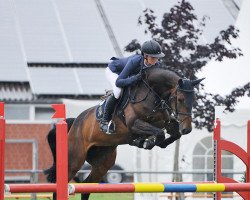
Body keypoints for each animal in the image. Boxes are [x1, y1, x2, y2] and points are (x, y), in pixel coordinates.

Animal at [44, 66, 203, 199]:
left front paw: (151, 142)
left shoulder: (165, 122)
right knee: (61, 185)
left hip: (103, 162)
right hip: (74, 160)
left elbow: (173, 134)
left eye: (193, 99)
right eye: (180, 99)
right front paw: (146, 142)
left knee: (87, 186)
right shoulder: (134, 124)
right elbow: (159, 133)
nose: (187, 129)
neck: (152, 93)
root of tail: (75, 122)